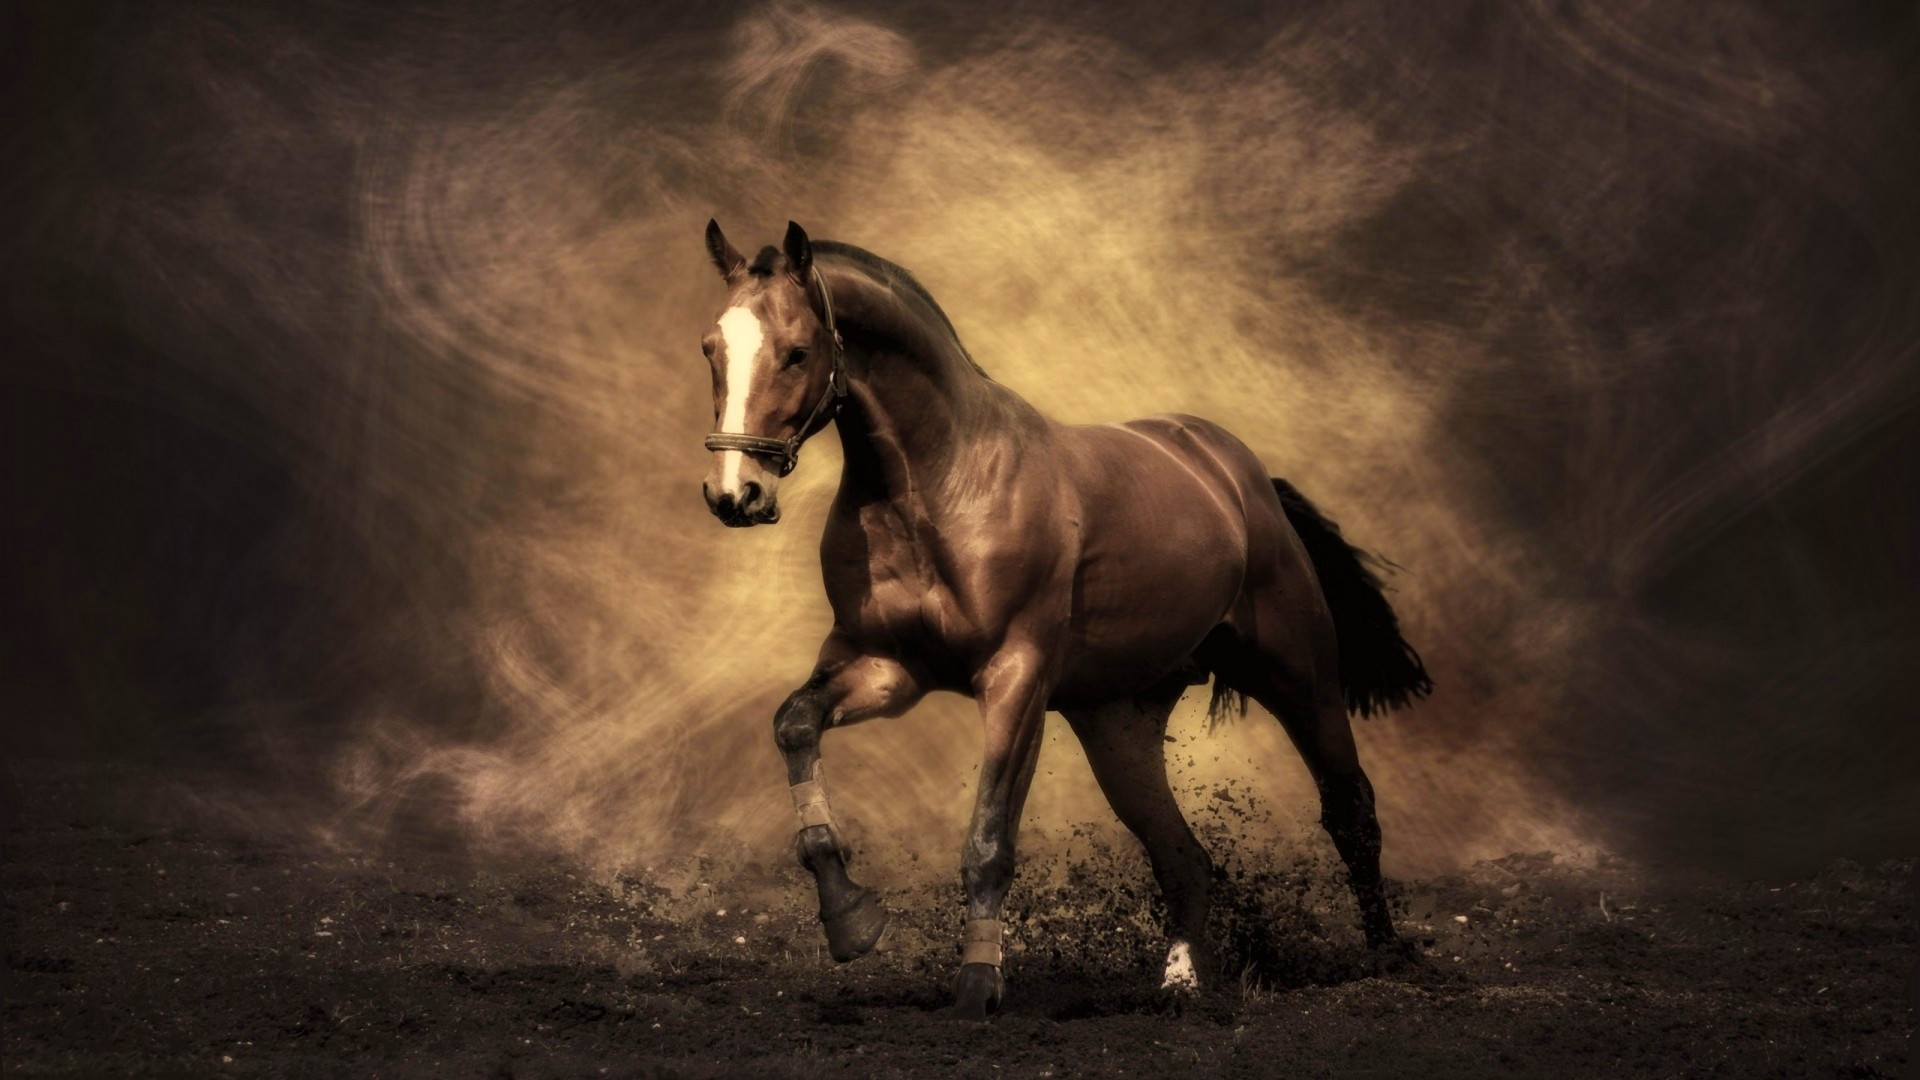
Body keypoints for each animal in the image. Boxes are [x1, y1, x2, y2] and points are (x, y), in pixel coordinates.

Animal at [695, 220, 1432, 1019]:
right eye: (711, 348)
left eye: (798, 350)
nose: (735, 494)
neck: (939, 485)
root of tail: (1240, 476)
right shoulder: (886, 668)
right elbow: (795, 726)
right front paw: (852, 921)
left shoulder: (1016, 679)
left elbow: (989, 841)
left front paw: (978, 987)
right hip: (1118, 725)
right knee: (1182, 856)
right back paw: (1180, 984)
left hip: (1299, 677)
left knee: (1350, 810)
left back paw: (1387, 956)